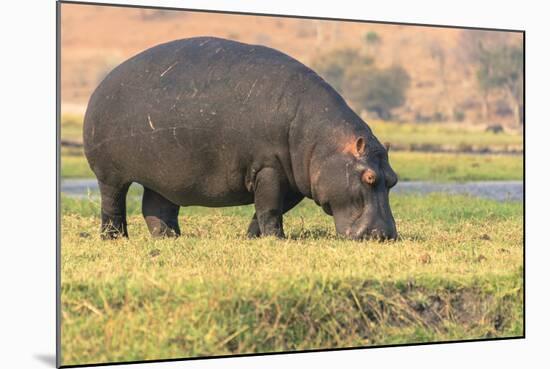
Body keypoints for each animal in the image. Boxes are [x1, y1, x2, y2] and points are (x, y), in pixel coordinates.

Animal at [83, 36, 396, 239]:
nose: (385, 236)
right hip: (110, 174)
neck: (324, 144)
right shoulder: (268, 168)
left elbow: (268, 210)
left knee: (156, 206)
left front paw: (254, 238)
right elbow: (269, 208)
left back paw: (170, 237)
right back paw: (115, 238)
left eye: (393, 179)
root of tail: (103, 83)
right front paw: (276, 240)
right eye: (369, 177)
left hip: (163, 176)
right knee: (112, 203)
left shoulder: (293, 181)